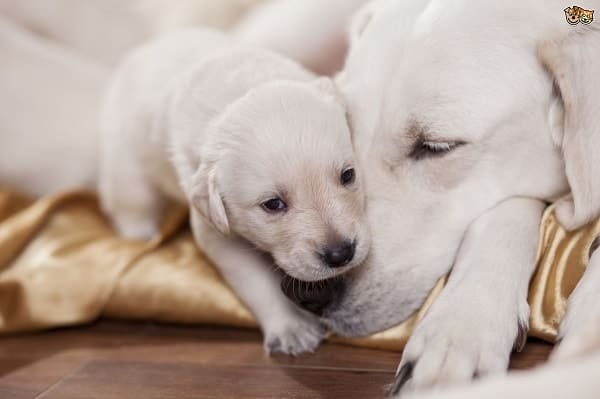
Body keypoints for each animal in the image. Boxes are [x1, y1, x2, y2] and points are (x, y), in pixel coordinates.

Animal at [99, 28, 370, 356]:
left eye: (348, 175)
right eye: (273, 204)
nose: (340, 254)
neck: (240, 89)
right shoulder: (215, 230)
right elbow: (256, 281)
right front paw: (290, 327)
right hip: (125, 160)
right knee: (129, 201)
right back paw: (140, 232)